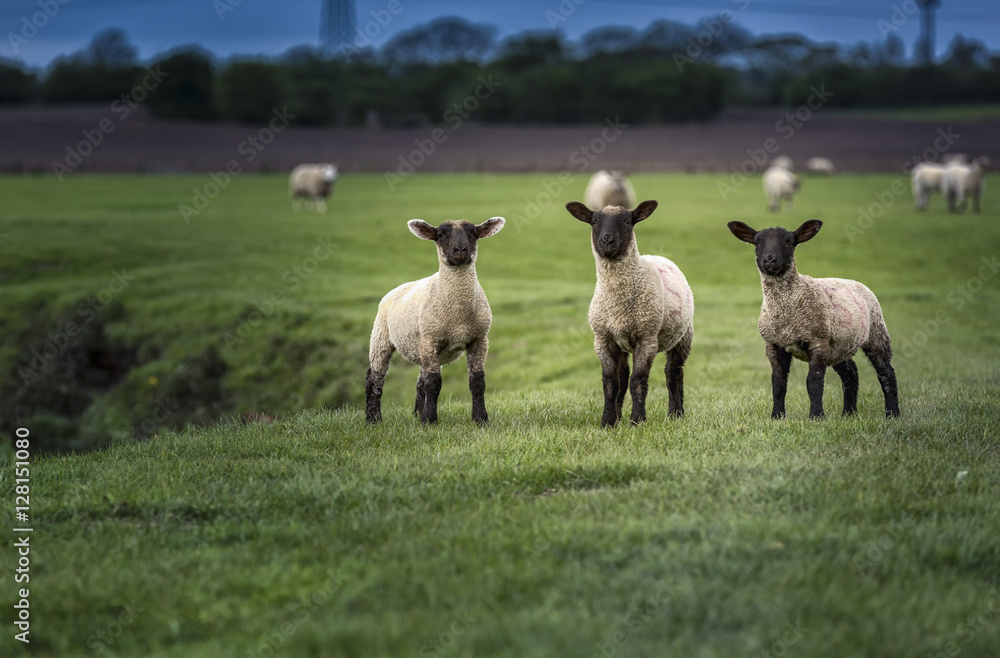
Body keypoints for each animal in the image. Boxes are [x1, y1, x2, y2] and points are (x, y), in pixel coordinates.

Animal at [365, 216, 505, 425]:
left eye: (473, 233)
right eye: (440, 235)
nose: (460, 250)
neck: (458, 317)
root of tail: (398, 287)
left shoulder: (479, 339)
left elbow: (477, 381)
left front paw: (480, 419)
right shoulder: (431, 338)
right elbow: (434, 383)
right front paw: (429, 421)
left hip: (421, 345)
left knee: (420, 382)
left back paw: (416, 414)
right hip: (381, 337)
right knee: (375, 378)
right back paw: (373, 419)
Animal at [564, 200, 694, 427]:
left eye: (627, 221)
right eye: (594, 222)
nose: (607, 240)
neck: (619, 304)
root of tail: (656, 257)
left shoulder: (647, 339)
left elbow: (638, 380)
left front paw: (638, 420)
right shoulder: (603, 339)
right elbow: (610, 382)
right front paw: (607, 422)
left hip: (683, 336)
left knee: (674, 372)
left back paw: (676, 414)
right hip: (622, 343)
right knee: (623, 377)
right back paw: (618, 416)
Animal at [727, 219, 900, 419]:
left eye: (789, 242)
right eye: (757, 242)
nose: (770, 260)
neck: (786, 314)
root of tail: (851, 280)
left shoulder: (817, 341)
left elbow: (813, 382)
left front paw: (817, 416)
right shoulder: (774, 344)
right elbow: (778, 383)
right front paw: (777, 416)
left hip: (876, 332)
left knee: (886, 373)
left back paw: (892, 413)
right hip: (839, 345)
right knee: (851, 374)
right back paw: (849, 413)